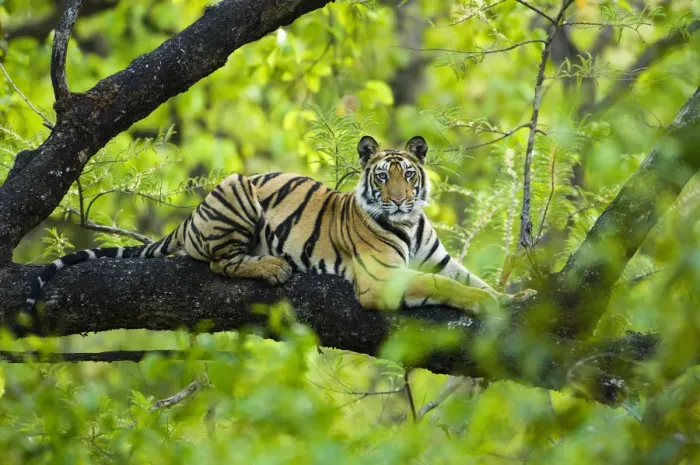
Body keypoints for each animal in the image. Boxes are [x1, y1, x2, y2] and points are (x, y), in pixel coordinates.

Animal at [13, 135, 535, 336]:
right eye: (382, 177)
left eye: (408, 175)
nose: (401, 200)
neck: (408, 225)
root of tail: (190, 217)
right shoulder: (382, 280)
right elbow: (446, 287)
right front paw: (488, 305)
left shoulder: (438, 257)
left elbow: (469, 279)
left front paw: (516, 297)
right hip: (238, 193)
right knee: (220, 262)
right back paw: (271, 267)